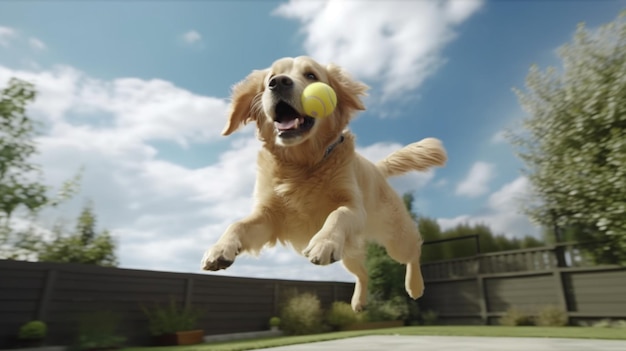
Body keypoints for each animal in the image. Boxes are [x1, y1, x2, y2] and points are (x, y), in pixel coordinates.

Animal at [200, 56, 444, 312]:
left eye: (311, 75)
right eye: (270, 78)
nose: (278, 83)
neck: (302, 164)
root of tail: (378, 169)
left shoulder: (353, 207)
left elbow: (337, 214)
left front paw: (323, 241)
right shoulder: (268, 218)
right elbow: (237, 224)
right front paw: (219, 249)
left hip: (395, 238)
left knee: (414, 251)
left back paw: (415, 286)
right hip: (348, 252)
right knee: (363, 273)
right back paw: (358, 301)